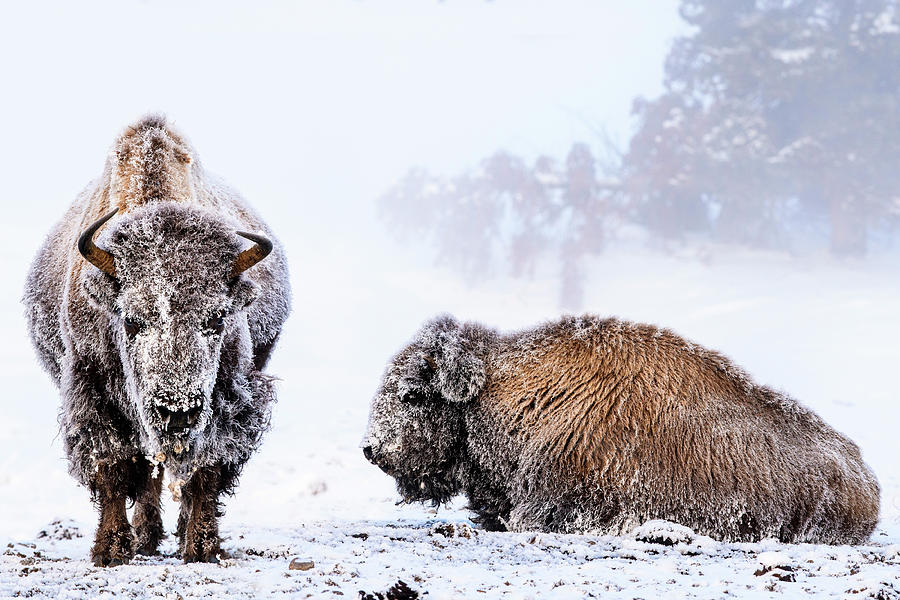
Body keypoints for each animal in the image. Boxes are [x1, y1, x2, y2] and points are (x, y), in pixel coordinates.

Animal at [24, 115, 290, 564]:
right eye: (131, 320)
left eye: (217, 318)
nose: (176, 409)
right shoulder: (94, 394)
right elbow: (114, 467)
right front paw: (111, 550)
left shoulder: (227, 399)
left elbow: (206, 470)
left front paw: (202, 547)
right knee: (149, 470)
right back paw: (145, 536)